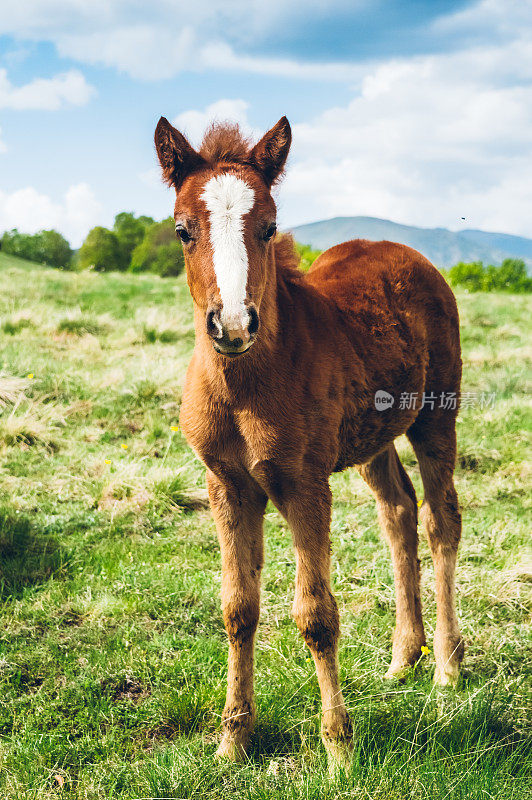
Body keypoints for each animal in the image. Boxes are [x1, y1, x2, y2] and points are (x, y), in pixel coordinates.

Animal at [155, 114, 466, 768]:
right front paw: (234, 740)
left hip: (435, 416)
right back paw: (404, 658)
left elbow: (317, 615)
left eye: (269, 226)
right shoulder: (227, 485)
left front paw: (339, 748)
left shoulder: (303, 484)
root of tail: (407, 253)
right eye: (182, 231)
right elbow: (238, 608)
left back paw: (448, 667)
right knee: (398, 511)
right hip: (374, 437)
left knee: (440, 518)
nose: (233, 324)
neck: (245, 385)